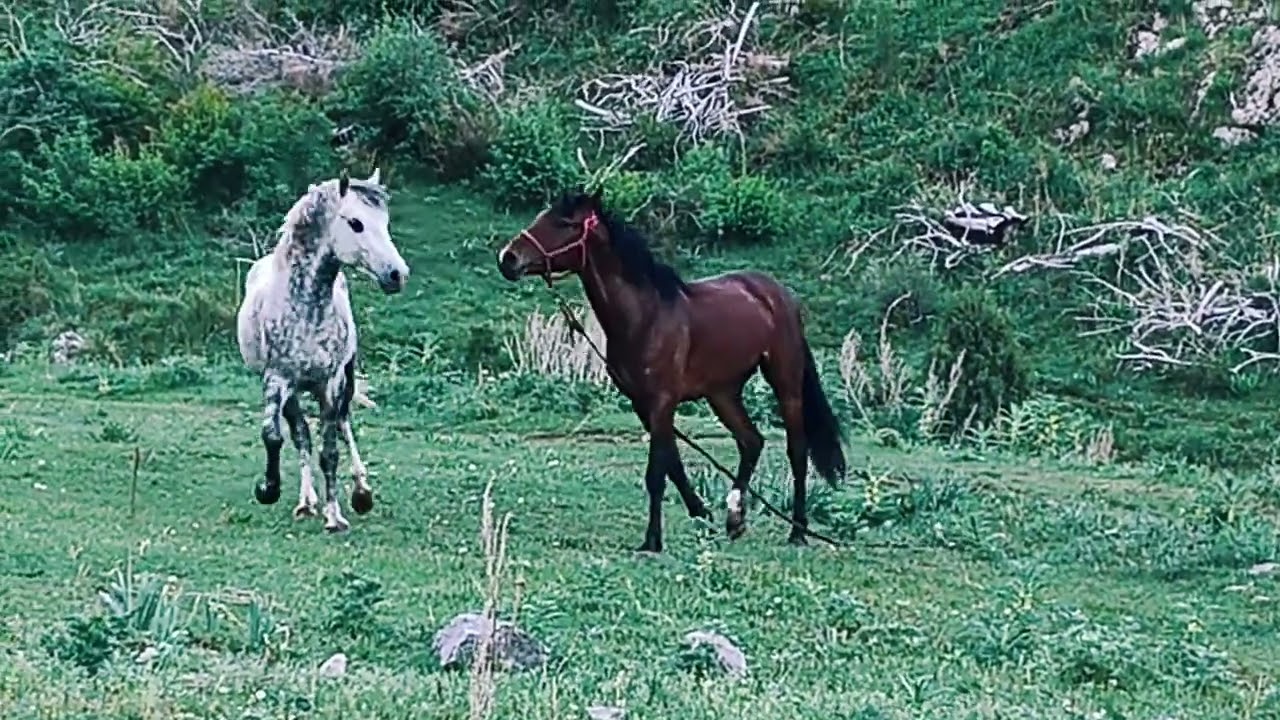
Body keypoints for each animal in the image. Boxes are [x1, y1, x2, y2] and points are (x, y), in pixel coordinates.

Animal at [236, 168, 410, 533]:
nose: (397, 274)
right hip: (296, 390)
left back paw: (361, 490)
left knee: (343, 425)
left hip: (341, 380)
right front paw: (269, 489)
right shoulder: (277, 379)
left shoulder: (331, 382)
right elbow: (275, 436)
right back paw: (306, 501)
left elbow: (330, 451)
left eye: (384, 222)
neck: (306, 308)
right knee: (301, 433)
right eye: (356, 223)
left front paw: (335, 516)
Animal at [496, 189, 846, 552]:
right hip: (722, 392)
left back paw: (798, 532)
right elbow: (673, 466)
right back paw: (735, 518)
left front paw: (652, 540)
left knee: (797, 452)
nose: (508, 259)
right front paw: (701, 512)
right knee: (751, 441)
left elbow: (657, 472)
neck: (645, 317)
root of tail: (779, 295)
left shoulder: (663, 400)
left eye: (565, 223)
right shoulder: (642, 403)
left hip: (785, 383)